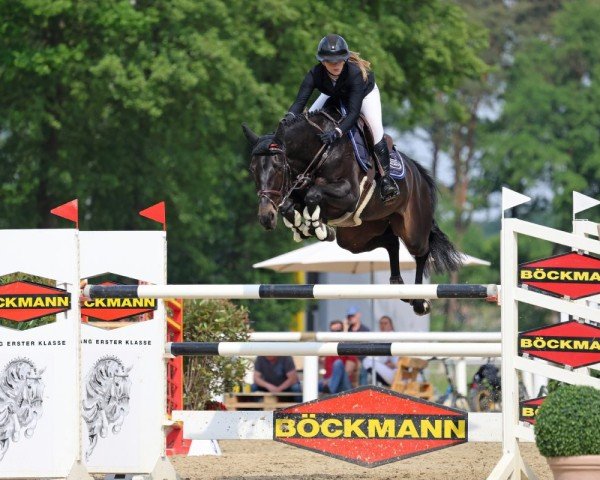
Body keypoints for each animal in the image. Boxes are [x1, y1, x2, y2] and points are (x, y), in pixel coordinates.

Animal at [241, 110, 462, 316]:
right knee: (390, 242)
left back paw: (419, 301)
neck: (320, 153)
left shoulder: (348, 194)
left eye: (277, 166)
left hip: (412, 228)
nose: (266, 217)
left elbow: (314, 194)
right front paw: (306, 227)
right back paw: (398, 286)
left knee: (421, 252)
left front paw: (315, 226)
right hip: (356, 236)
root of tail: (418, 174)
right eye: (252, 169)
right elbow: (290, 204)